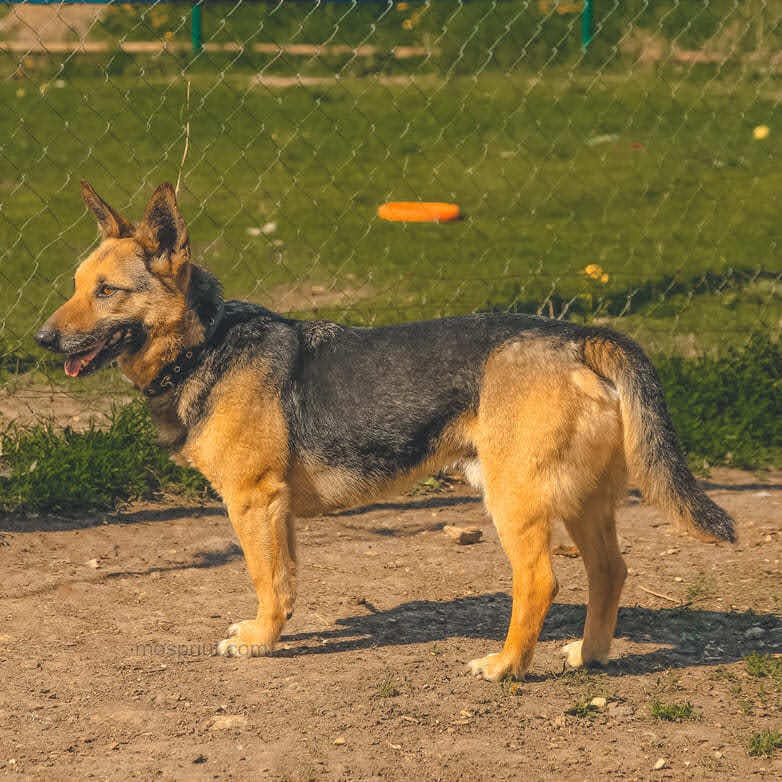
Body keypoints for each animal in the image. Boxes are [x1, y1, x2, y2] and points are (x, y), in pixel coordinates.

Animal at [35, 182, 736, 680]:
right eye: (76, 286)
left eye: (107, 292)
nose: (40, 339)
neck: (206, 342)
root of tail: (575, 336)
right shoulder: (277, 511)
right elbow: (285, 581)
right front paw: (276, 632)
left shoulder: (253, 501)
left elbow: (265, 580)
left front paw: (261, 642)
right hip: (582, 501)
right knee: (610, 572)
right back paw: (587, 656)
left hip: (515, 500)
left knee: (540, 582)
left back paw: (506, 665)